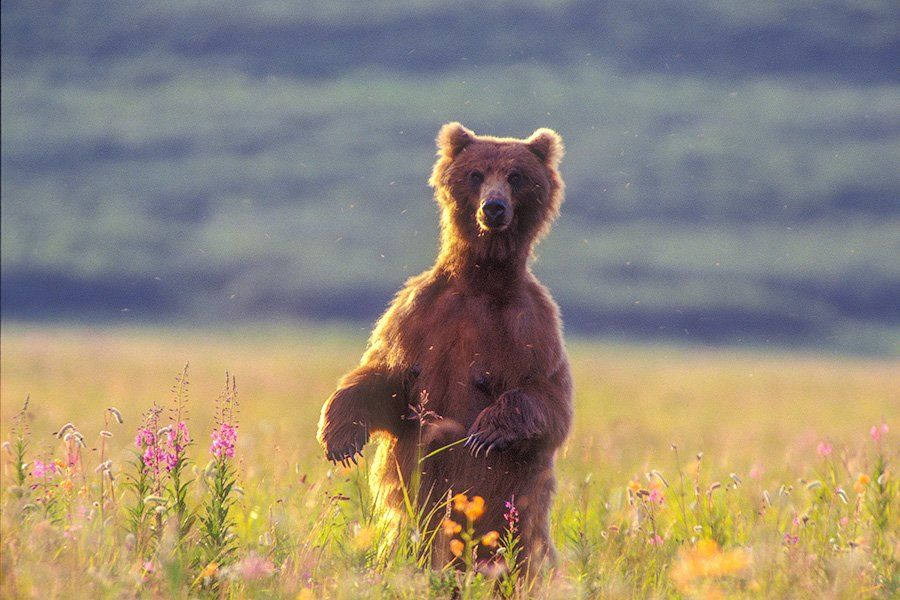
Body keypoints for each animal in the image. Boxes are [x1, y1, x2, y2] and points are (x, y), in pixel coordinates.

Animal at [316, 122, 568, 568]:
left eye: (516, 176)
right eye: (476, 174)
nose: (493, 208)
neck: (480, 279)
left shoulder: (531, 326)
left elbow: (548, 400)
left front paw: (488, 430)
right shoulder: (418, 313)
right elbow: (385, 377)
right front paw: (341, 438)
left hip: (517, 519)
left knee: (525, 555)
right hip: (415, 521)